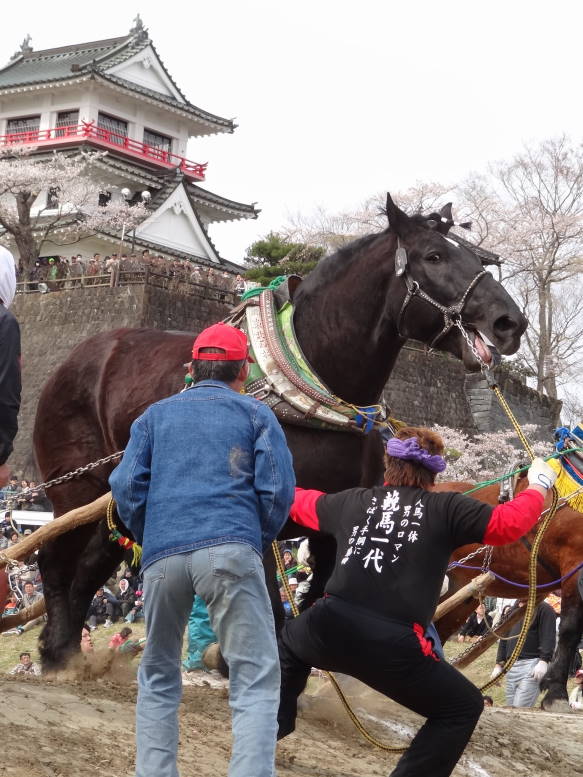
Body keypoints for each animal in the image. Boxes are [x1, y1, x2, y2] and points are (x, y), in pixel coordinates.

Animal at [30, 192, 528, 668]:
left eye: (477, 259)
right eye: (434, 256)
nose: (511, 321)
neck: (311, 380)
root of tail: (80, 356)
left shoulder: (334, 521)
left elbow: (315, 605)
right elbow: (268, 609)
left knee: (93, 565)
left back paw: (67, 652)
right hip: (74, 483)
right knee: (55, 560)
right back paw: (56, 654)